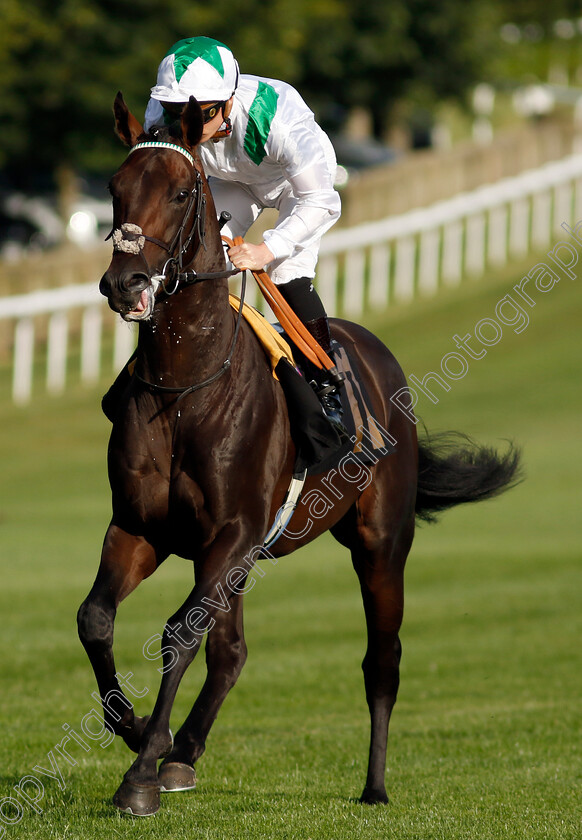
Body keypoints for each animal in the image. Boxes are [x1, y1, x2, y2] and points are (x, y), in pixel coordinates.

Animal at [76, 95, 520, 816]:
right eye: (115, 189)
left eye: (180, 192)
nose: (127, 282)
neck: (185, 387)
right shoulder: (144, 528)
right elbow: (97, 620)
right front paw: (142, 731)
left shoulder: (231, 533)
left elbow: (177, 633)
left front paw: (140, 773)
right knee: (231, 651)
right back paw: (183, 752)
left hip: (379, 544)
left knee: (381, 660)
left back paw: (374, 785)